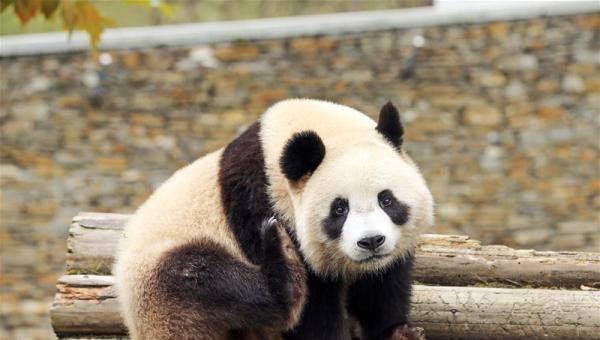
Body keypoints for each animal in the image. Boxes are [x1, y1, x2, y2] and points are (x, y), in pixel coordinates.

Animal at [113, 99, 432, 340]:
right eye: (339, 209)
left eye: (386, 199)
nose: (371, 241)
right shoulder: (261, 205)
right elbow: (313, 311)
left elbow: (383, 288)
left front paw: (398, 333)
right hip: (159, 282)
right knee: (206, 280)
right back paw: (281, 262)